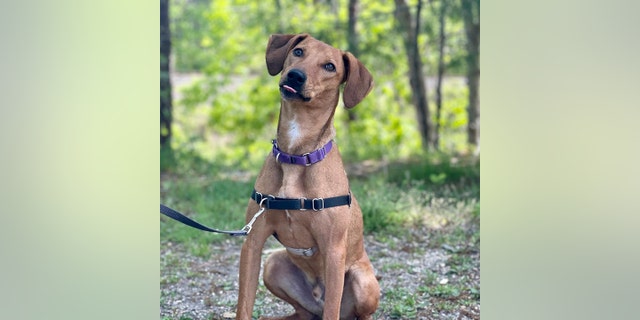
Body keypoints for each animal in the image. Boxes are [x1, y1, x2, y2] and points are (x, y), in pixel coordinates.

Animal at [239, 33, 382, 318]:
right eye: (298, 51)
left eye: (329, 66)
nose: (295, 76)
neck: (296, 154)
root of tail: (316, 298)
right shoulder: (252, 243)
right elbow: (243, 306)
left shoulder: (333, 251)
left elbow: (332, 312)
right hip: (273, 263)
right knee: (303, 311)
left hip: (362, 281)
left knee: (354, 313)